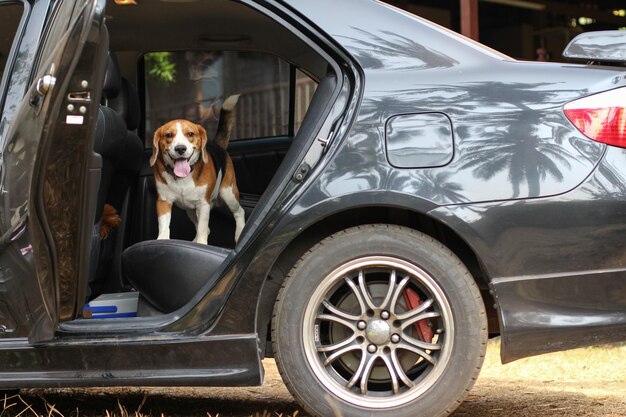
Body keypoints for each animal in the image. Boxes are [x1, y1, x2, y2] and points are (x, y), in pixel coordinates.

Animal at [149, 94, 244, 244]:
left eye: (190, 134)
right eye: (169, 135)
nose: (180, 148)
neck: (182, 178)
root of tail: (218, 145)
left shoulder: (204, 204)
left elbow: (202, 228)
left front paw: (201, 243)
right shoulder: (163, 201)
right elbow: (164, 225)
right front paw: (162, 240)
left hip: (228, 192)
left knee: (239, 212)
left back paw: (239, 233)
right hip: (190, 209)